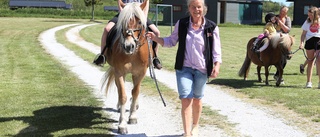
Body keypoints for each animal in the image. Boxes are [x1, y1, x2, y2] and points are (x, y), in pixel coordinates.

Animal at [103, 0, 152, 134]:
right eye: (123, 22)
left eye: (139, 22)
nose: (128, 46)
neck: (133, 54)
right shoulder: (119, 72)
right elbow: (123, 95)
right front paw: (122, 124)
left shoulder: (140, 73)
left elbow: (135, 92)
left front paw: (133, 116)